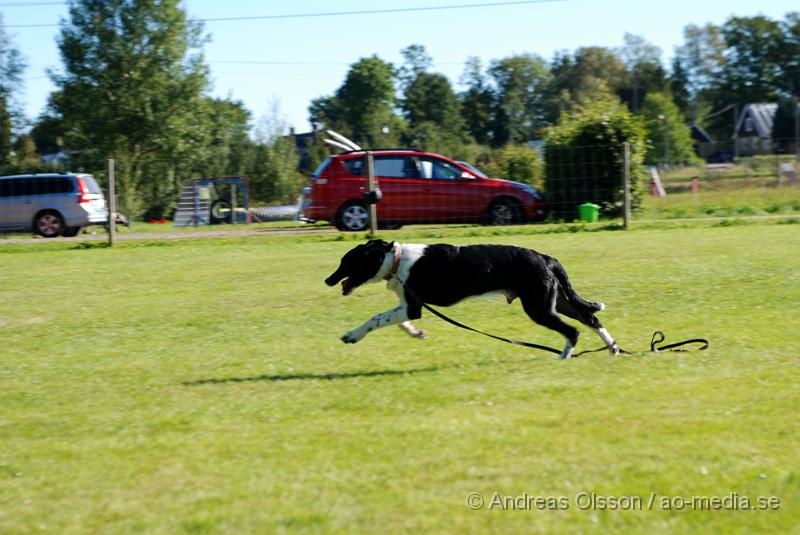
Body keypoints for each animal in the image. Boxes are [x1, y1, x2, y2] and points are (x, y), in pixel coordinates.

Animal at [324, 240, 620, 360]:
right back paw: (613, 348)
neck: (396, 260)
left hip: (538, 307)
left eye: (346, 262)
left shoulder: (413, 305)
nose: (328, 280)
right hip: (556, 301)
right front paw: (417, 333)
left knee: (573, 330)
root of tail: (547, 258)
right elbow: (396, 322)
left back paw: (564, 355)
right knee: (590, 317)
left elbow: (377, 318)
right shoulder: (409, 305)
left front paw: (352, 335)